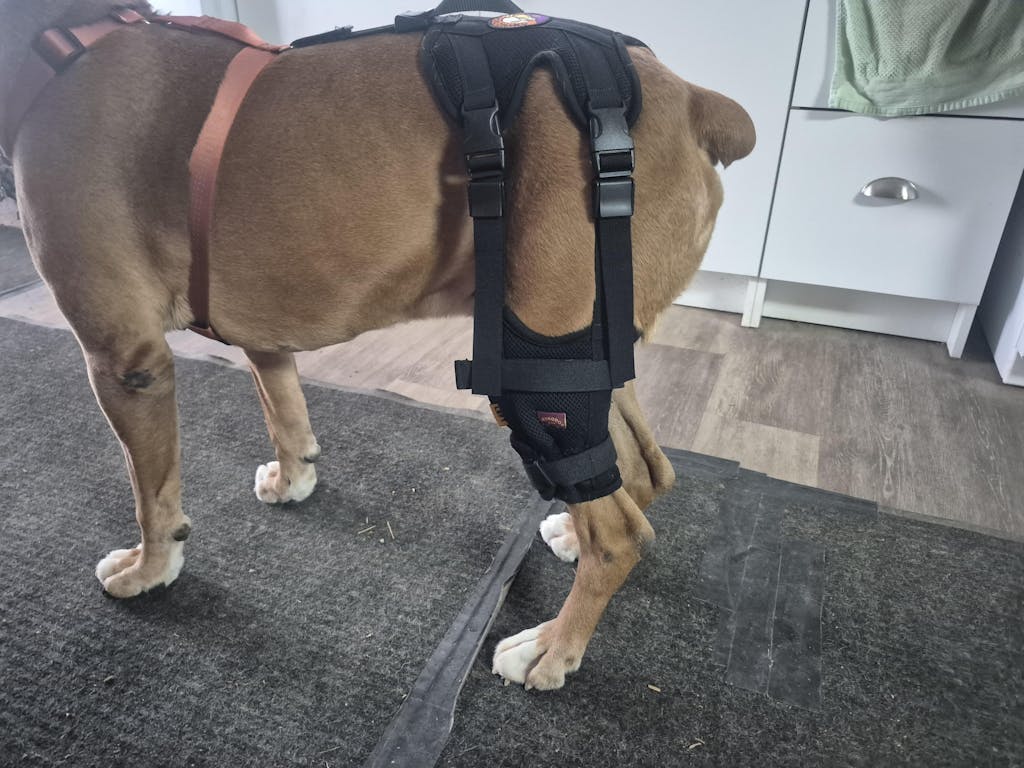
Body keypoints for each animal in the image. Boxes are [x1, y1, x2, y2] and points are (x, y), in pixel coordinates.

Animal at [0, 0, 754, 691]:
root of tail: (693, 99)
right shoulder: (263, 331)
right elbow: (284, 410)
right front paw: (294, 479)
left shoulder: (126, 363)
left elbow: (152, 495)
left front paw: (151, 569)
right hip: (590, 355)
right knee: (642, 470)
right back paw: (572, 535)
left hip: (536, 361)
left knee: (618, 533)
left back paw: (552, 646)